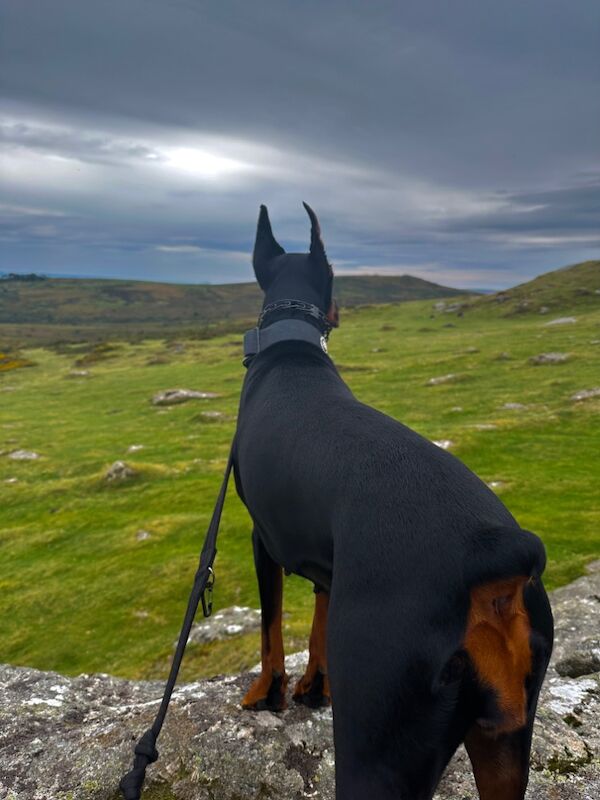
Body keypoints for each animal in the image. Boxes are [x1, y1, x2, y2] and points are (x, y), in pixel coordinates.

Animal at [233, 206, 552, 800]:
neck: (292, 353)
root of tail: (493, 555)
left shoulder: (264, 540)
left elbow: (271, 631)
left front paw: (268, 693)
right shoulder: (330, 564)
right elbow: (318, 623)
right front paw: (315, 687)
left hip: (380, 740)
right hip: (504, 738)